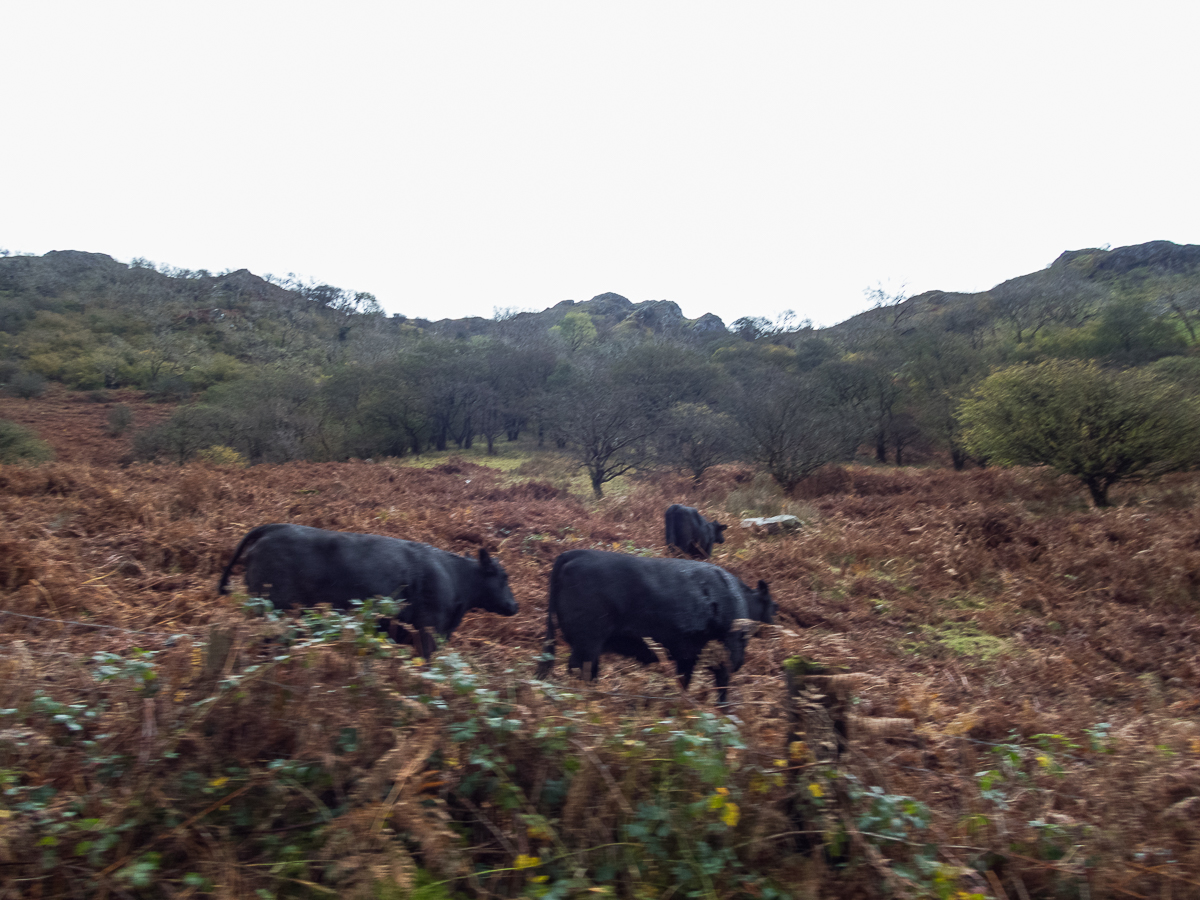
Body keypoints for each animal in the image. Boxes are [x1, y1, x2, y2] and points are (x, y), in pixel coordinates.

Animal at [218, 525, 518, 657]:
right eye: (504, 577)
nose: (515, 605)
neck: (453, 577)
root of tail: (273, 528)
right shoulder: (427, 630)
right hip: (271, 609)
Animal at [537, 549, 777, 705]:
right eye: (774, 608)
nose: (777, 623)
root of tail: (576, 553)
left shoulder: (687, 657)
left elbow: (684, 682)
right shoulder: (726, 657)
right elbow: (722, 691)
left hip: (588, 645)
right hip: (587, 641)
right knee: (579, 671)